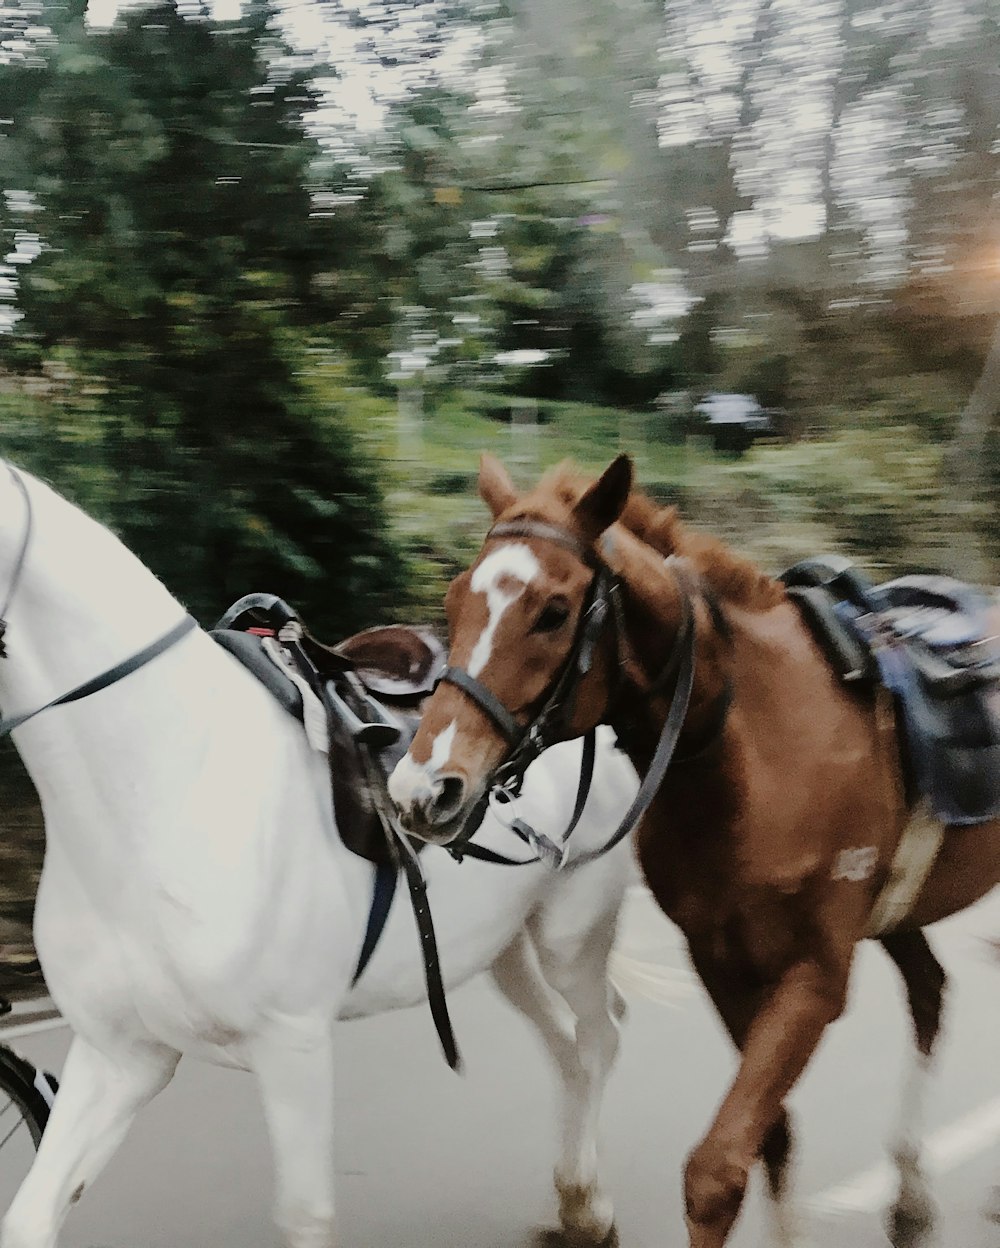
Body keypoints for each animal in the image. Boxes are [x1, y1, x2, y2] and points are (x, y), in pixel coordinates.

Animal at [0, 466, 636, 1248]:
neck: (167, 784)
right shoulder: (119, 1056)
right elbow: (31, 1214)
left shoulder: (292, 1047)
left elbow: (305, 1214)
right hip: (503, 950)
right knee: (564, 1045)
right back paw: (574, 1194)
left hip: (570, 935)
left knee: (598, 1036)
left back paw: (591, 1206)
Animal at [389, 456, 998, 1248]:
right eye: (455, 598)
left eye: (553, 611)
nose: (423, 788)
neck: (756, 749)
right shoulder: (719, 958)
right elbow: (771, 1139)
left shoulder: (815, 974)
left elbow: (716, 1170)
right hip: (899, 910)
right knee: (930, 992)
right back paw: (911, 1196)